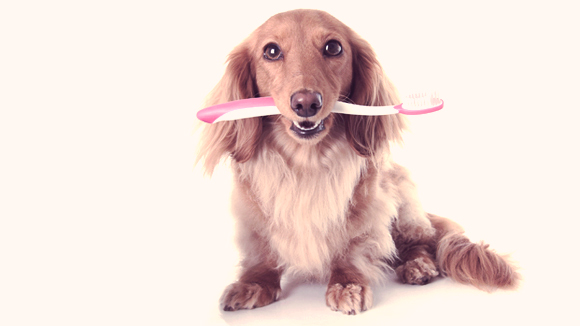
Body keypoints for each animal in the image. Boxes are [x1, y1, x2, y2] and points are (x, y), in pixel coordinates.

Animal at [197, 8, 520, 314]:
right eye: (271, 51)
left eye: (333, 47)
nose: (306, 103)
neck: (306, 163)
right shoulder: (254, 213)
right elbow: (263, 252)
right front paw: (254, 283)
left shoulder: (365, 206)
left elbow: (350, 247)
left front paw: (347, 284)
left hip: (402, 202)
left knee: (420, 243)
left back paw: (417, 265)